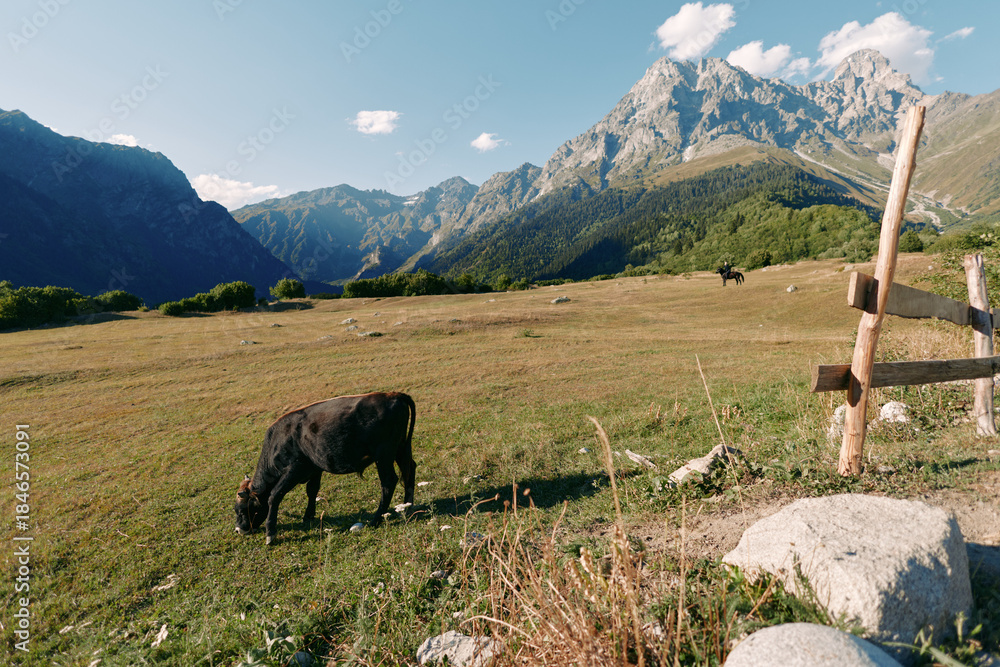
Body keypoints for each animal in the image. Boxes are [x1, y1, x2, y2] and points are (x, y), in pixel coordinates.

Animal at [234, 392, 416, 545]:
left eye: (242, 511)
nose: (238, 530)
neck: (280, 440)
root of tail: (393, 394)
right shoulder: (314, 468)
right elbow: (312, 490)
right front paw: (308, 516)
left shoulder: (294, 470)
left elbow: (274, 496)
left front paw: (270, 533)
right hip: (400, 448)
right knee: (410, 469)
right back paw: (407, 507)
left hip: (384, 455)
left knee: (388, 482)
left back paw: (376, 519)